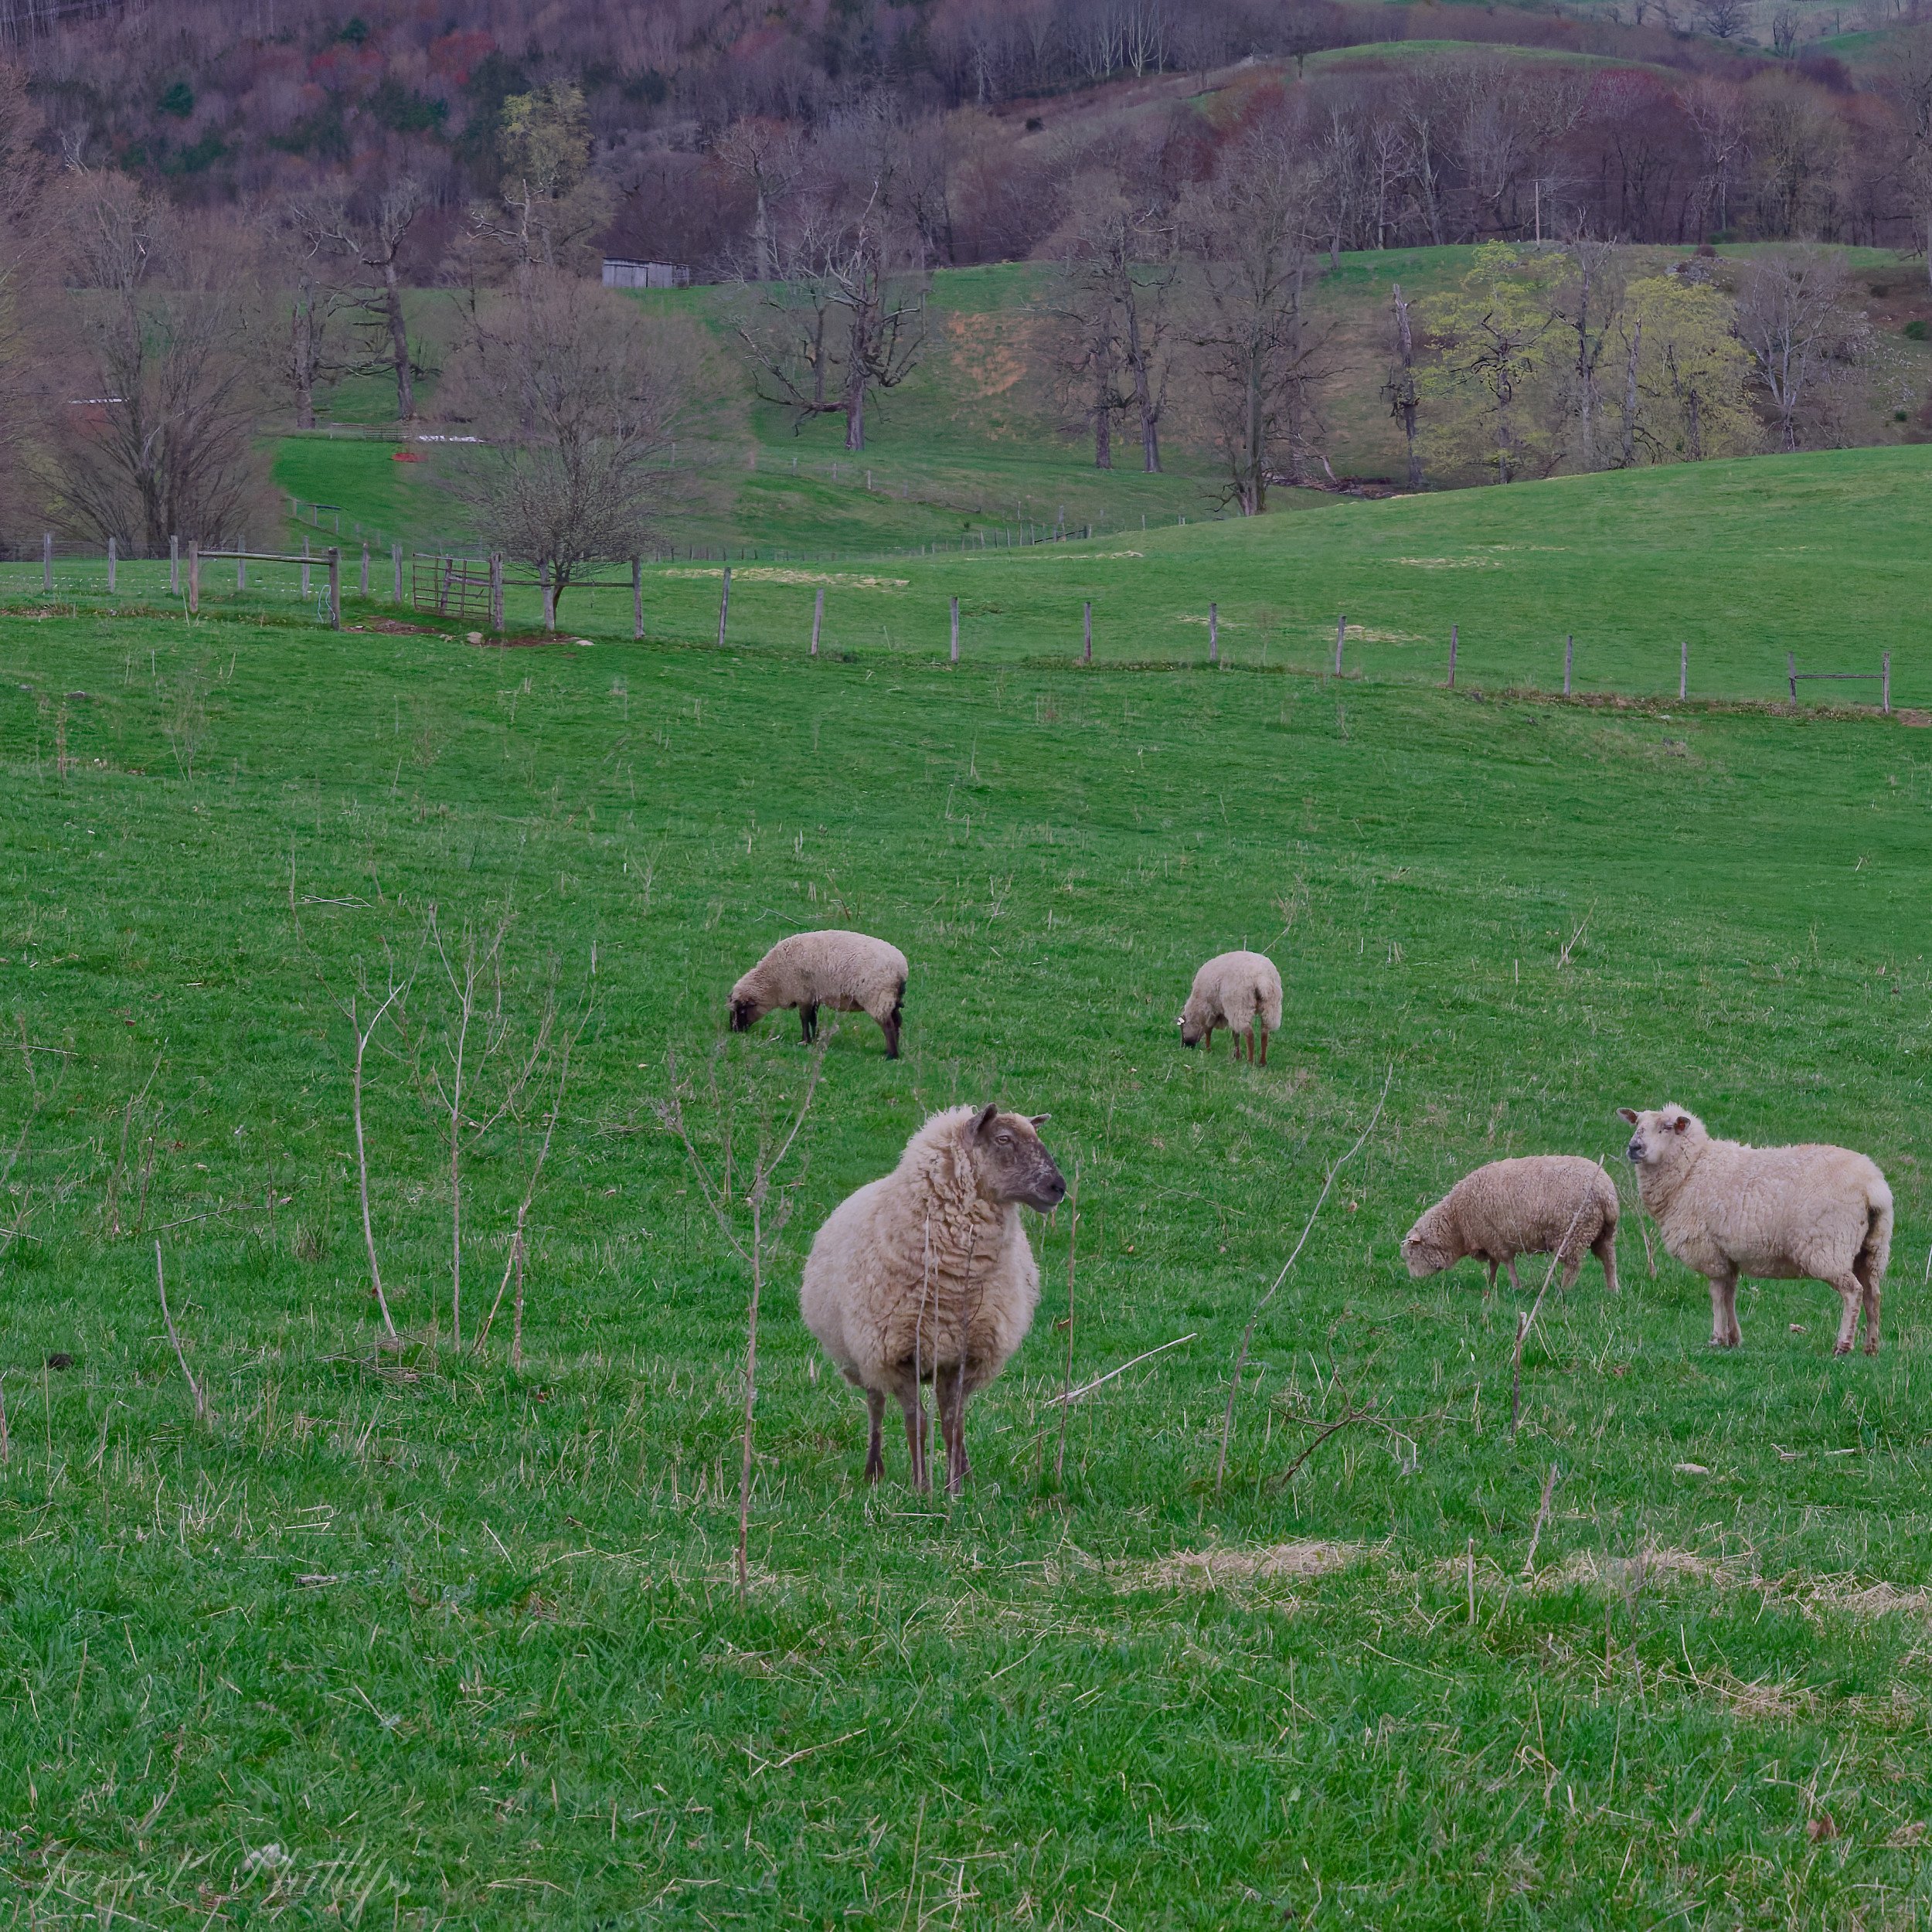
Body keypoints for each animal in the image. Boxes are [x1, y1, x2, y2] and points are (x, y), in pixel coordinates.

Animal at [728, 929, 908, 1058]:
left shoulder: (803, 994)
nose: (733, 1030)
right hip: (890, 999)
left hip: (877, 997)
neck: (774, 981)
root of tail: (902, 969)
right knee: (897, 1021)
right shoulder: (813, 996)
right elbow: (813, 1019)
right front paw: (814, 1039)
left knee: (888, 1025)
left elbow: (804, 1018)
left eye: (741, 1010)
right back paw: (890, 1051)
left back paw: (891, 1055)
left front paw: (805, 1041)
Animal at [800, 1103, 1066, 1493]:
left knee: (949, 1412)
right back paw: (873, 1471)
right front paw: (921, 1488)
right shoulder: (897, 1354)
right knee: (876, 1406)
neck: (956, 1286)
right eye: (1004, 1139)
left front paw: (954, 1488)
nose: (1059, 1187)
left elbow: (953, 1423)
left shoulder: (964, 1355)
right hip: (862, 1357)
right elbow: (918, 1422)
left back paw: (965, 1472)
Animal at [1178, 950, 1284, 1065]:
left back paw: (1250, 1061)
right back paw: (1262, 1062)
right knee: (1264, 1032)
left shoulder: (1212, 1009)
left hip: (1240, 1005)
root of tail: (1262, 979)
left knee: (1249, 1033)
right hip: (1271, 1007)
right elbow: (1235, 1033)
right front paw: (1237, 1056)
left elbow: (1209, 1030)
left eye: (1182, 1028)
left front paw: (1208, 1050)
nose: (1185, 1047)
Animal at [1402, 1155, 1620, 1295]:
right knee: (1609, 1260)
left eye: (1411, 1256)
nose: (1415, 1283)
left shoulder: (1495, 1237)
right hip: (1602, 1232)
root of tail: (1606, 1192)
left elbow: (1507, 1263)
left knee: (1573, 1265)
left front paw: (1515, 1286)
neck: (1456, 1223)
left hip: (1574, 1232)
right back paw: (1613, 1289)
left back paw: (1563, 1290)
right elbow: (1494, 1264)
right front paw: (1491, 1284)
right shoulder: (1489, 1240)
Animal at [1619, 1104, 1893, 1355]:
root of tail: (1873, 1186)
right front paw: (1733, 1338)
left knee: (1853, 1292)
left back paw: (1843, 1346)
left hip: (1829, 1247)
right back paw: (1871, 1348)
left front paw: (1717, 1339)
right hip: (1873, 1249)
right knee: (1873, 1295)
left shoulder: (1710, 1252)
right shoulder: (1727, 1255)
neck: (1691, 1171)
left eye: (1666, 1128)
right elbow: (1729, 1294)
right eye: (1637, 1124)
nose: (1634, 1148)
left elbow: (1716, 1294)